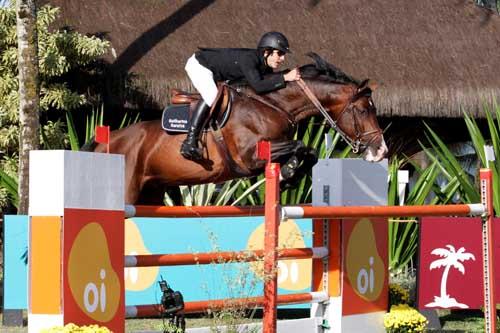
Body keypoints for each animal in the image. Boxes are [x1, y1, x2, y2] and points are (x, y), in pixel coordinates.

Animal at [89, 53, 386, 204]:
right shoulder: (249, 157)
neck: (272, 104)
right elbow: (302, 145)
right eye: (363, 110)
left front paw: (288, 175)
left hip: (151, 193)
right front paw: (288, 173)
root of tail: (104, 143)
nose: (381, 151)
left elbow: (309, 152)